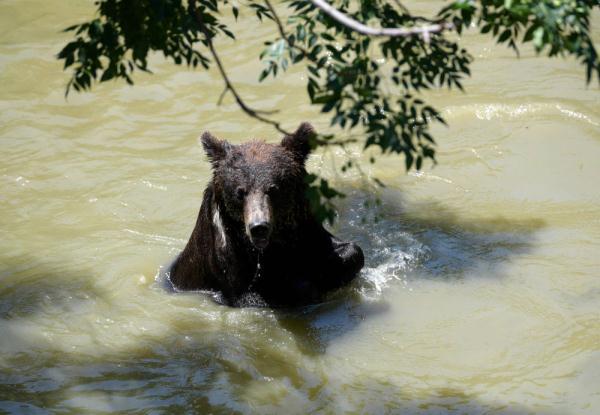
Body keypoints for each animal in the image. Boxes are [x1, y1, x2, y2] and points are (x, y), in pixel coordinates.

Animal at [169, 122, 366, 308]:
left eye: (273, 189)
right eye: (240, 192)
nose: (259, 227)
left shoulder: (306, 232)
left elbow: (350, 252)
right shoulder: (230, 268)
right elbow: (257, 295)